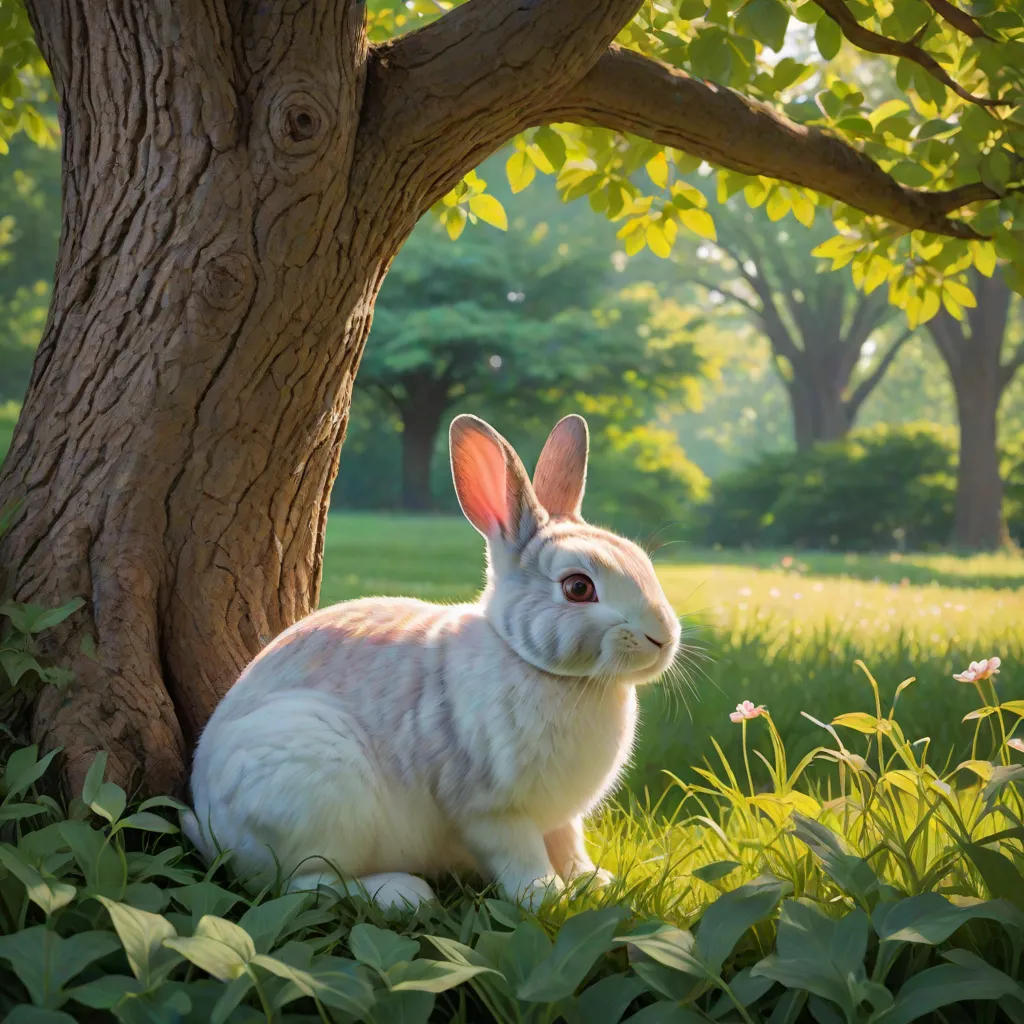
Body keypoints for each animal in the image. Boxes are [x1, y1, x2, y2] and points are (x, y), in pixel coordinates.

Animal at [183, 413, 681, 909]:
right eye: (578, 588)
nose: (664, 638)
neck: (531, 662)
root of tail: (210, 826)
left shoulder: (559, 817)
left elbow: (569, 845)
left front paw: (594, 882)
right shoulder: (492, 811)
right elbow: (520, 858)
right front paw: (546, 898)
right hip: (313, 787)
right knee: (300, 882)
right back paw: (402, 893)